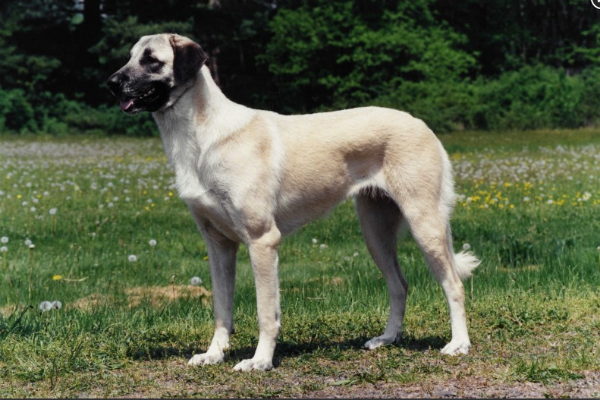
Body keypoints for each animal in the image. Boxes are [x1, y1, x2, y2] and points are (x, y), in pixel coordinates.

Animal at [108, 32, 480, 370]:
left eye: (151, 60)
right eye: (129, 57)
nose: (111, 83)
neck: (202, 136)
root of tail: (421, 124)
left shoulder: (262, 241)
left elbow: (265, 313)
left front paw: (259, 361)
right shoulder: (218, 245)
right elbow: (222, 310)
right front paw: (214, 355)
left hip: (424, 224)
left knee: (454, 285)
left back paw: (459, 344)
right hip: (375, 232)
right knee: (399, 285)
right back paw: (388, 339)